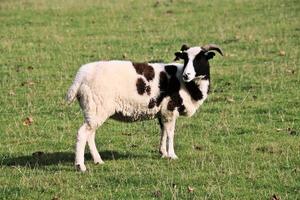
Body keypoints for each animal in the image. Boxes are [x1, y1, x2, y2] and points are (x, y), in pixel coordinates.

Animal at [67, 44, 224, 172]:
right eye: (185, 59)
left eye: (200, 59)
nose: (187, 74)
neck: (187, 85)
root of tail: (80, 78)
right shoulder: (170, 109)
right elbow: (170, 133)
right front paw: (172, 155)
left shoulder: (162, 112)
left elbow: (163, 132)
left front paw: (163, 153)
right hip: (97, 108)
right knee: (83, 133)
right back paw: (80, 166)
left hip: (92, 110)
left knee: (90, 134)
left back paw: (98, 160)